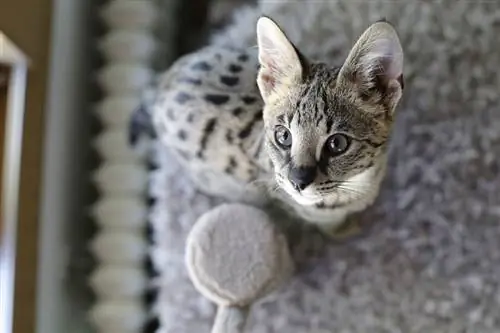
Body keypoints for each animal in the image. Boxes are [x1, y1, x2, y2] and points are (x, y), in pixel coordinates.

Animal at [131, 13, 404, 236]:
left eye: (337, 143)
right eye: (283, 136)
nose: (297, 183)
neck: (359, 182)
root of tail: (163, 83)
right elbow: (330, 225)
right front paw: (347, 230)